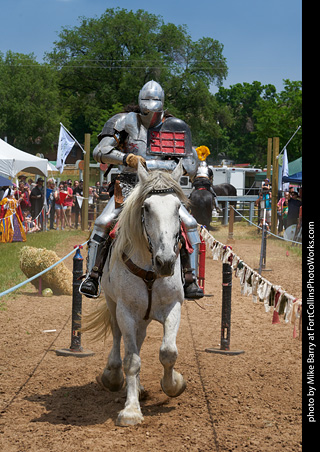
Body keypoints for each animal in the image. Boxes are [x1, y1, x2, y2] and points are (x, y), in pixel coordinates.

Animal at [82, 162, 188, 428]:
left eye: (178, 207)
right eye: (147, 207)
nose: (166, 262)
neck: (150, 269)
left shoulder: (173, 307)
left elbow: (168, 352)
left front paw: (173, 384)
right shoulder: (126, 312)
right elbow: (131, 360)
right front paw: (131, 411)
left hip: (144, 317)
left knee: (139, 341)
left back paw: (139, 388)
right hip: (115, 307)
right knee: (119, 338)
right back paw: (112, 376)